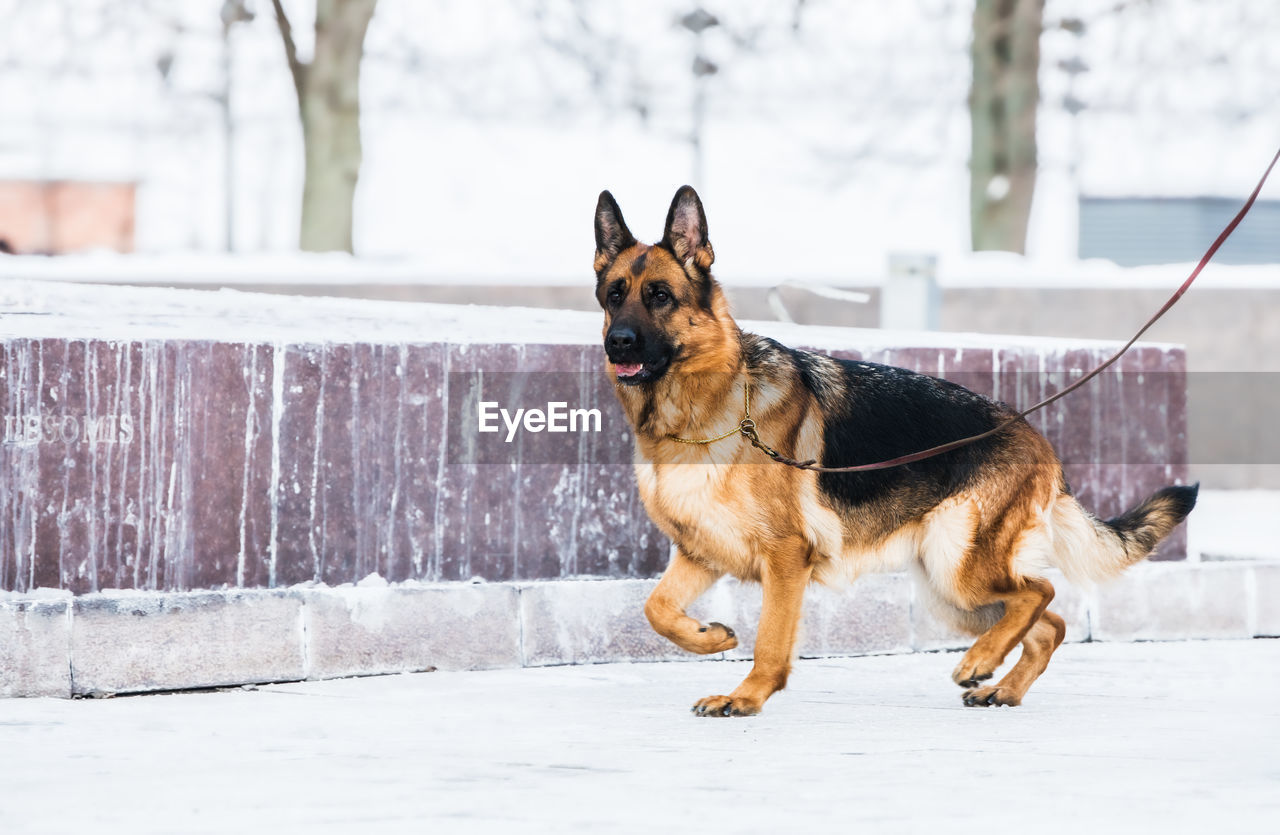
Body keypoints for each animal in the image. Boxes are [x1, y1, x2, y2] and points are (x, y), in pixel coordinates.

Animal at [593, 185, 1192, 712]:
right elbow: (655, 608)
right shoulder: (699, 552)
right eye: (615, 294)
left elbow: (769, 642)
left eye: (661, 296)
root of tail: (1036, 437)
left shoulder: (786, 559)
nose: (617, 342)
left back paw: (979, 663)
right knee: (1048, 624)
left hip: (958, 568)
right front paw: (710, 636)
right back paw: (1001, 687)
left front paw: (746, 698)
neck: (701, 410)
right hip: (953, 592)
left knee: (1038, 593)